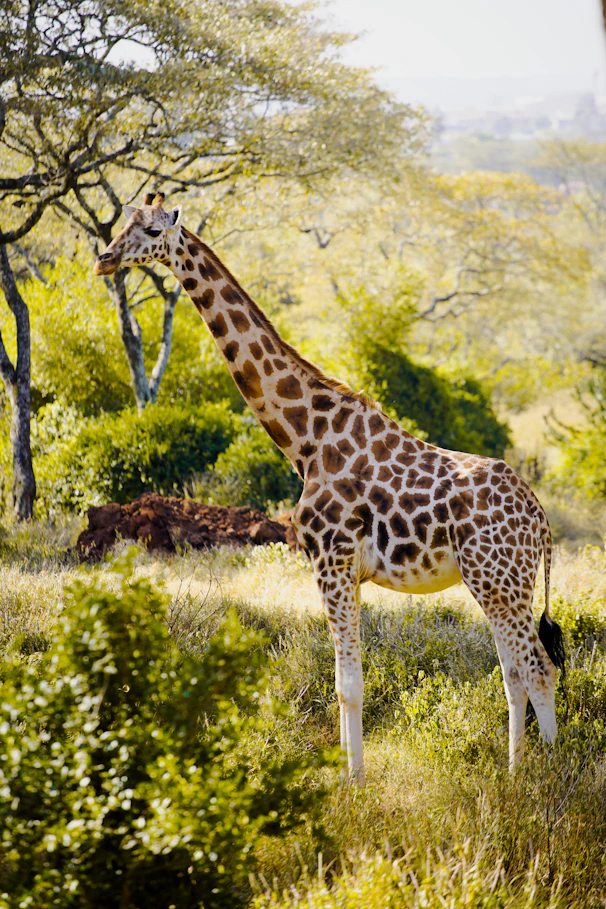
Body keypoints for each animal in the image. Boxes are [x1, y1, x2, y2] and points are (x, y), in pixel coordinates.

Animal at [93, 192, 565, 785]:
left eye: (152, 230)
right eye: (123, 222)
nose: (105, 258)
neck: (306, 439)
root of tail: (540, 519)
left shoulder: (332, 562)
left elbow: (348, 686)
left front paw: (354, 784)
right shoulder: (338, 570)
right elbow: (342, 682)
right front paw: (347, 775)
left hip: (498, 580)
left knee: (538, 668)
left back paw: (545, 783)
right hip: (501, 584)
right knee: (515, 674)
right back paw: (515, 773)